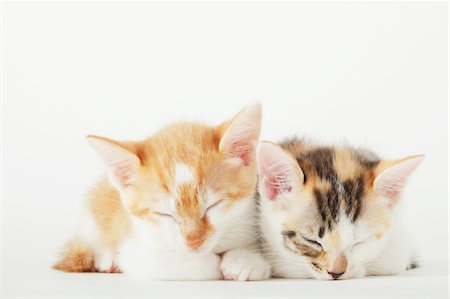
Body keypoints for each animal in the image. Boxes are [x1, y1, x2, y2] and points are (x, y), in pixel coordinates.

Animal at [52, 105, 270, 282]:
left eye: (213, 205)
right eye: (164, 214)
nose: (194, 242)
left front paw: (246, 259)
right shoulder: (136, 247)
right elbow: (164, 262)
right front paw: (213, 263)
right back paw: (108, 259)